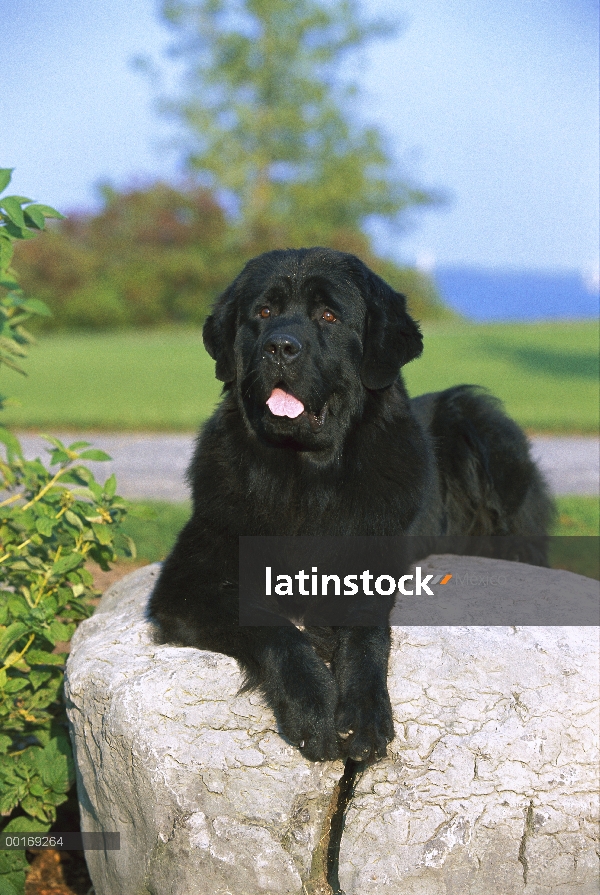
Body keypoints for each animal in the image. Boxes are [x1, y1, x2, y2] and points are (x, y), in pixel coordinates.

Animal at [149, 247, 552, 764]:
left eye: (328, 316)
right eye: (264, 312)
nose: (280, 347)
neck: (304, 479)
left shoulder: (372, 556)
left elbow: (366, 630)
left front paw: (364, 711)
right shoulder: (186, 584)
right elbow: (269, 625)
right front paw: (312, 702)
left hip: (479, 420)